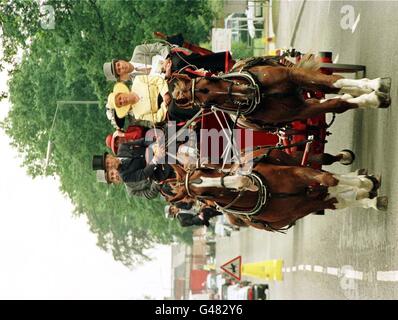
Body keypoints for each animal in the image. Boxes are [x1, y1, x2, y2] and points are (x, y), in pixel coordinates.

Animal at [166, 148, 388, 232]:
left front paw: (367, 184)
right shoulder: (306, 205)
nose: (244, 180)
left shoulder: (298, 172)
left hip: (292, 158)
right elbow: (335, 194)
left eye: (205, 169)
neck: (266, 194)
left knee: (322, 164)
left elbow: (328, 178)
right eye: (204, 195)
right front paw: (367, 194)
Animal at [171, 56, 392, 130]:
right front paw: (374, 98)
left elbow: (333, 82)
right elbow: (338, 103)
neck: (262, 94)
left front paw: (377, 85)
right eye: (206, 105)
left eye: (211, 79)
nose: (248, 92)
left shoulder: (293, 75)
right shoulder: (301, 111)